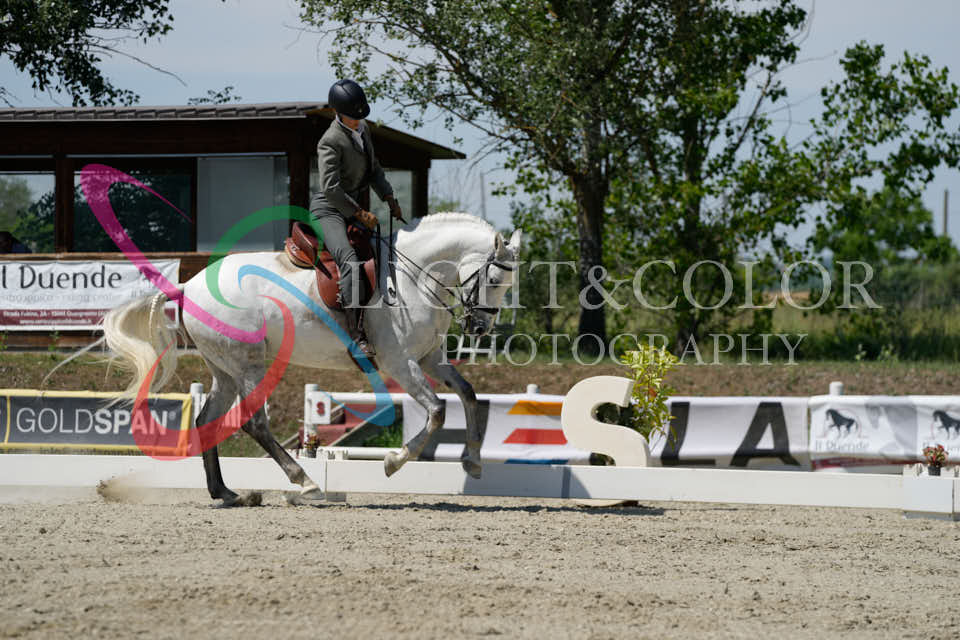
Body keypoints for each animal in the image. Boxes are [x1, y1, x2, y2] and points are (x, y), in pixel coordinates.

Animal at [102, 212, 521, 506]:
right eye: (494, 280)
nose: (480, 327)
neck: (412, 279)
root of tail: (189, 284)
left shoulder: (430, 358)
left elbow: (468, 395)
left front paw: (473, 461)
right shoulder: (400, 363)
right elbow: (436, 410)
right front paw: (394, 461)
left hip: (225, 369)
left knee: (208, 421)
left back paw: (227, 493)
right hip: (250, 365)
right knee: (254, 423)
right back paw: (304, 481)